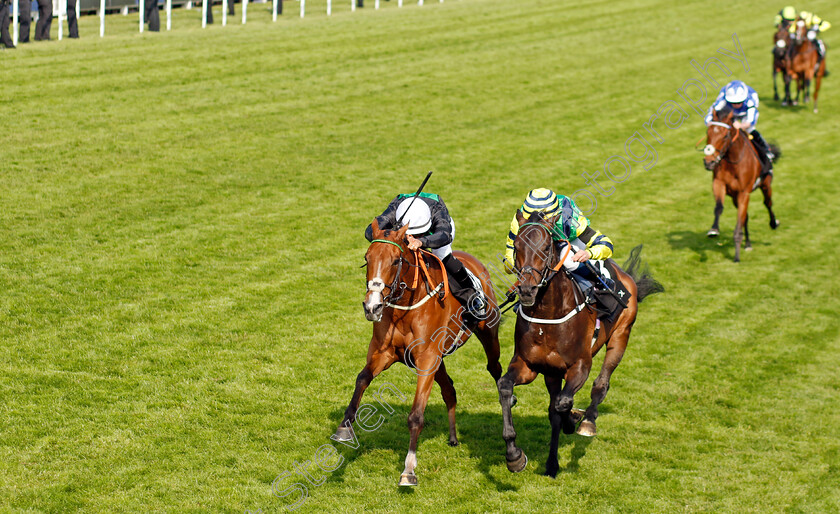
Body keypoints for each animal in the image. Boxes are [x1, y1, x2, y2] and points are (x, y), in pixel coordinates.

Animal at [334, 219, 506, 484]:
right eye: (367, 257)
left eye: (396, 260)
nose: (372, 307)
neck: (405, 306)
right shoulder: (385, 353)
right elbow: (362, 378)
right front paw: (344, 427)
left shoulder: (427, 358)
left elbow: (416, 415)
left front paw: (409, 469)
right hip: (439, 360)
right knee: (449, 390)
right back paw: (453, 436)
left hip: (487, 331)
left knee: (494, 368)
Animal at [492, 212, 664, 476]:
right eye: (517, 247)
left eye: (545, 247)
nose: (527, 290)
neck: (548, 316)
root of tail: (624, 274)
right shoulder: (528, 365)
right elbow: (506, 387)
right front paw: (514, 455)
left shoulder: (581, 365)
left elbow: (564, 402)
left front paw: (574, 419)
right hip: (551, 373)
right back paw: (552, 463)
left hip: (621, 335)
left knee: (601, 383)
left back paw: (588, 421)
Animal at [700, 106, 776, 262]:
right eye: (708, 133)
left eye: (725, 136)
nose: (709, 162)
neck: (733, 161)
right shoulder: (719, 184)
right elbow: (719, 207)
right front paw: (714, 230)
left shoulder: (744, 193)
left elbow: (739, 224)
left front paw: (736, 256)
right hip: (735, 197)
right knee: (745, 216)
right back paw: (748, 243)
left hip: (765, 184)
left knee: (768, 203)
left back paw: (773, 223)